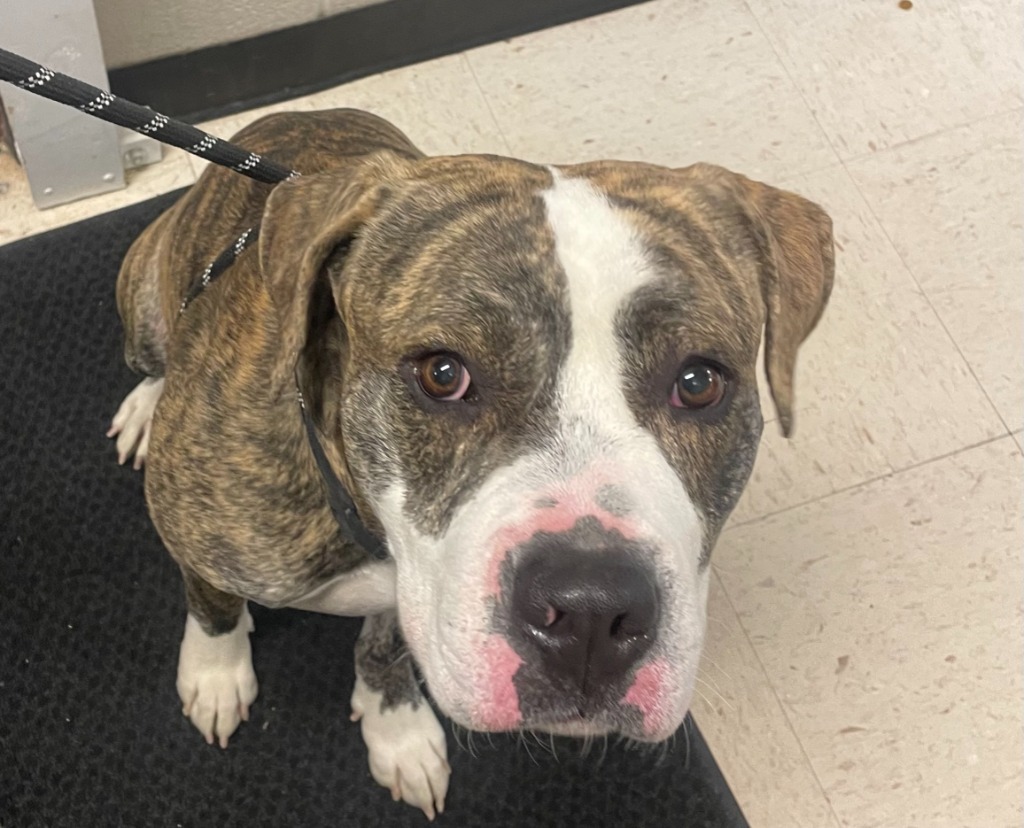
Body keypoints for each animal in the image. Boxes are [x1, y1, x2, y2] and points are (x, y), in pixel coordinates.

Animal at [105, 110, 831, 818]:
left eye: (699, 382)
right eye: (443, 373)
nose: (591, 614)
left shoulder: (408, 590)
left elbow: (384, 646)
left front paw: (395, 729)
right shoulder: (199, 541)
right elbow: (213, 606)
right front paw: (215, 675)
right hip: (141, 291)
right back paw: (144, 407)